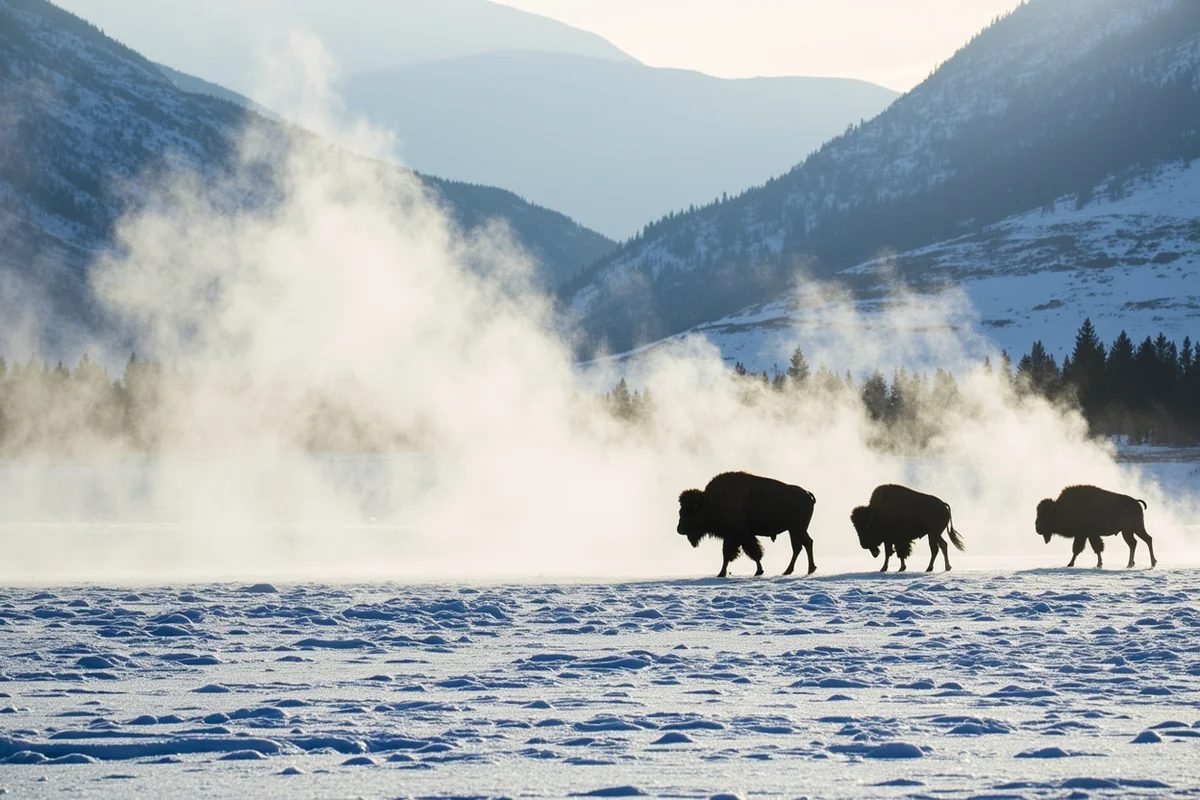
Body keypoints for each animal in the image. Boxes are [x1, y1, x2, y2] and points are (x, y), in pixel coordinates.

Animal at [676, 471, 817, 578]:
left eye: (690, 511)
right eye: (681, 510)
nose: (679, 529)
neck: (710, 502)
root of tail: (807, 494)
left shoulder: (738, 535)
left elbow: (738, 553)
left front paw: (722, 573)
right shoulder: (735, 536)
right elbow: (738, 553)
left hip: (796, 529)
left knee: (801, 545)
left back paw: (796, 570)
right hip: (795, 530)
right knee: (803, 544)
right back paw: (802, 569)